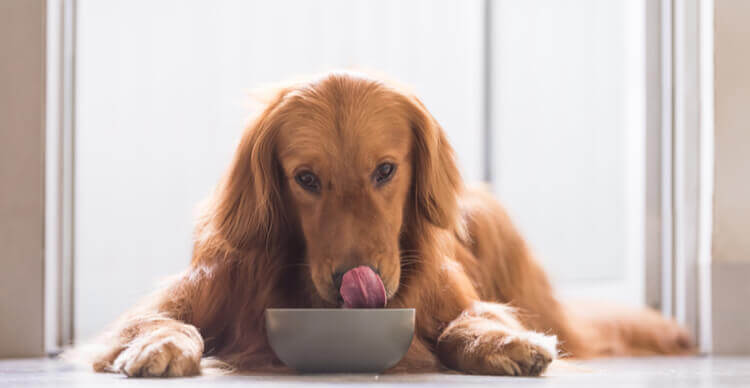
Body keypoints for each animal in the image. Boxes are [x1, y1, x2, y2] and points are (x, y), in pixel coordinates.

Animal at [75, 72, 692, 376]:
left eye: (386, 170)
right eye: (306, 179)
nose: (357, 280)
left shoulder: (449, 297)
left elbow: (467, 321)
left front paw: (502, 341)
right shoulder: (193, 292)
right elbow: (160, 321)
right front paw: (160, 345)